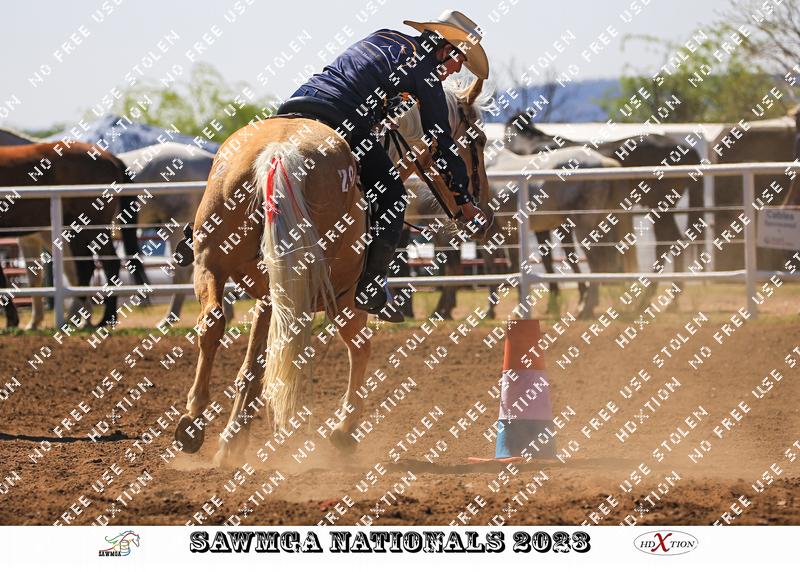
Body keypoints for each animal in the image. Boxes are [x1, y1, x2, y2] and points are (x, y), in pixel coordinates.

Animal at [0, 142, 130, 328]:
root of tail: (109, 157)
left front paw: (12, 320)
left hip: (90, 226)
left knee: (105, 263)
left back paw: (99, 318)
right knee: (85, 267)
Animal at [173, 78, 492, 467]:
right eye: (479, 140)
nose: (483, 213)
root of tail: (280, 152)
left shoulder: (269, 295)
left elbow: (254, 364)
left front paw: (232, 441)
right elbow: (354, 349)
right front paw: (341, 432)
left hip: (212, 264)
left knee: (212, 322)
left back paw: (192, 423)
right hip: (336, 292)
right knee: (350, 346)